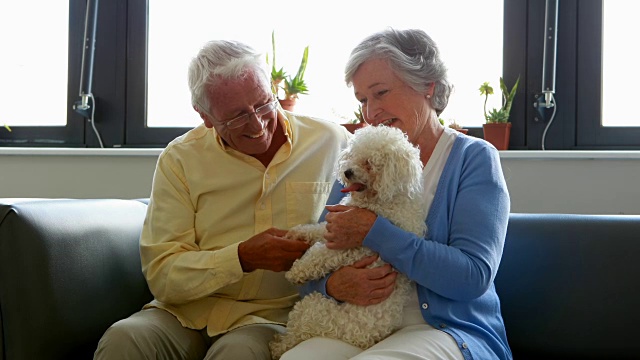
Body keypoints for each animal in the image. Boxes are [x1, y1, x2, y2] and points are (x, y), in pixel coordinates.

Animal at [268, 125, 428, 358]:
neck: (382, 200)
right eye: (353, 155)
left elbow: (319, 255)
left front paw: (296, 272)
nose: (347, 172)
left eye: (369, 163)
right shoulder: (334, 228)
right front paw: (296, 233)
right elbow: (316, 230)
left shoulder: (352, 247)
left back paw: (277, 345)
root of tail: (363, 341)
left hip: (315, 310)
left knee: (295, 334)